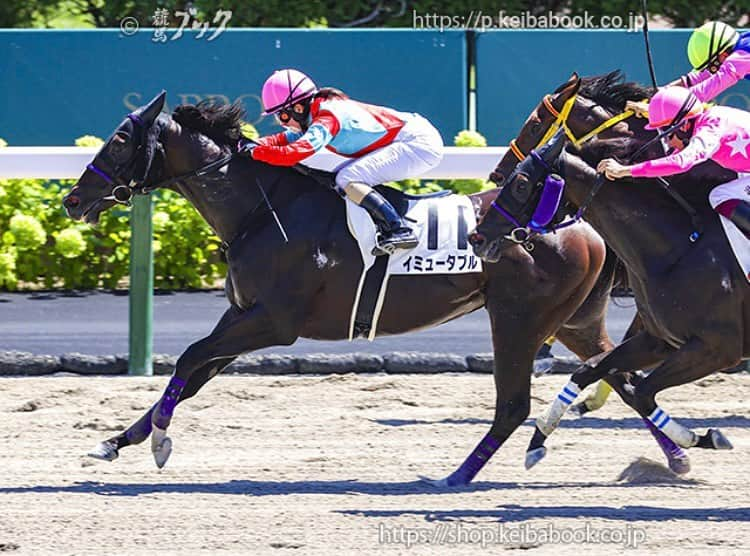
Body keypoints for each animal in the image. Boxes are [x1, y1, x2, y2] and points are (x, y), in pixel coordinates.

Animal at [63, 90, 680, 482]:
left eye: (119, 140)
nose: (72, 199)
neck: (262, 209)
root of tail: (579, 221)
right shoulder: (241, 316)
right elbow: (190, 376)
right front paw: (114, 441)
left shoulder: (273, 323)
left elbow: (190, 357)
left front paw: (159, 444)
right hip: (574, 320)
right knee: (620, 375)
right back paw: (679, 455)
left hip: (519, 320)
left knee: (516, 403)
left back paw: (456, 477)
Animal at [472, 77, 744, 470]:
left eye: (536, 124)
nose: (476, 236)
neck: (682, 243)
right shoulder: (662, 337)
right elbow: (597, 369)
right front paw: (540, 437)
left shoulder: (717, 348)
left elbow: (638, 388)